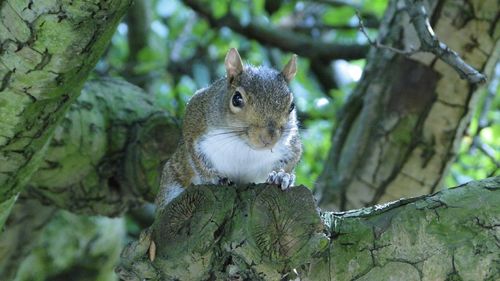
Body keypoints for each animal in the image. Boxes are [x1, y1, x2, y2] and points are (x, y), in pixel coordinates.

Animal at [156, 48, 302, 208]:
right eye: (236, 99)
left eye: (292, 106)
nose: (268, 138)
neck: (243, 145)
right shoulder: (195, 120)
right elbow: (196, 157)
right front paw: (215, 178)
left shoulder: (292, 144)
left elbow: (292, 159)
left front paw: (281, 176)